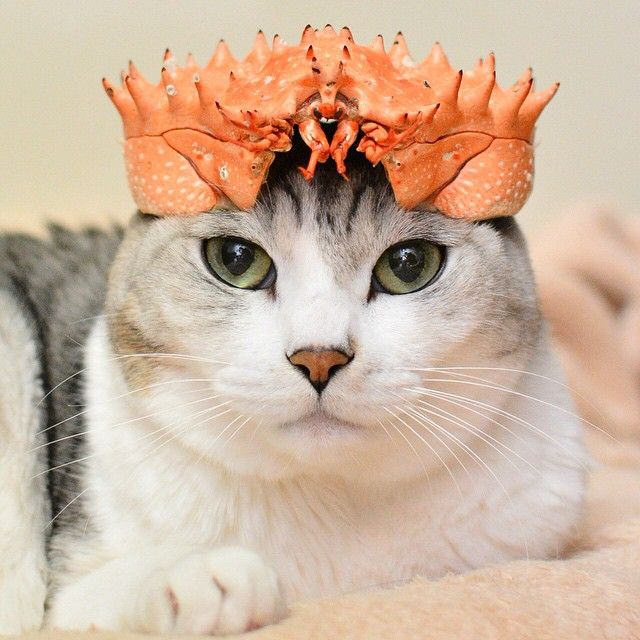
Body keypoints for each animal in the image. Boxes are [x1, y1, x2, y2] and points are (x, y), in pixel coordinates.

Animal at [0, 147, 586, 635]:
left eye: (409, 264)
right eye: (236, 259)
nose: (319, 357)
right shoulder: (69, 588)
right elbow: (87, 599)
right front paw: (197, 577)